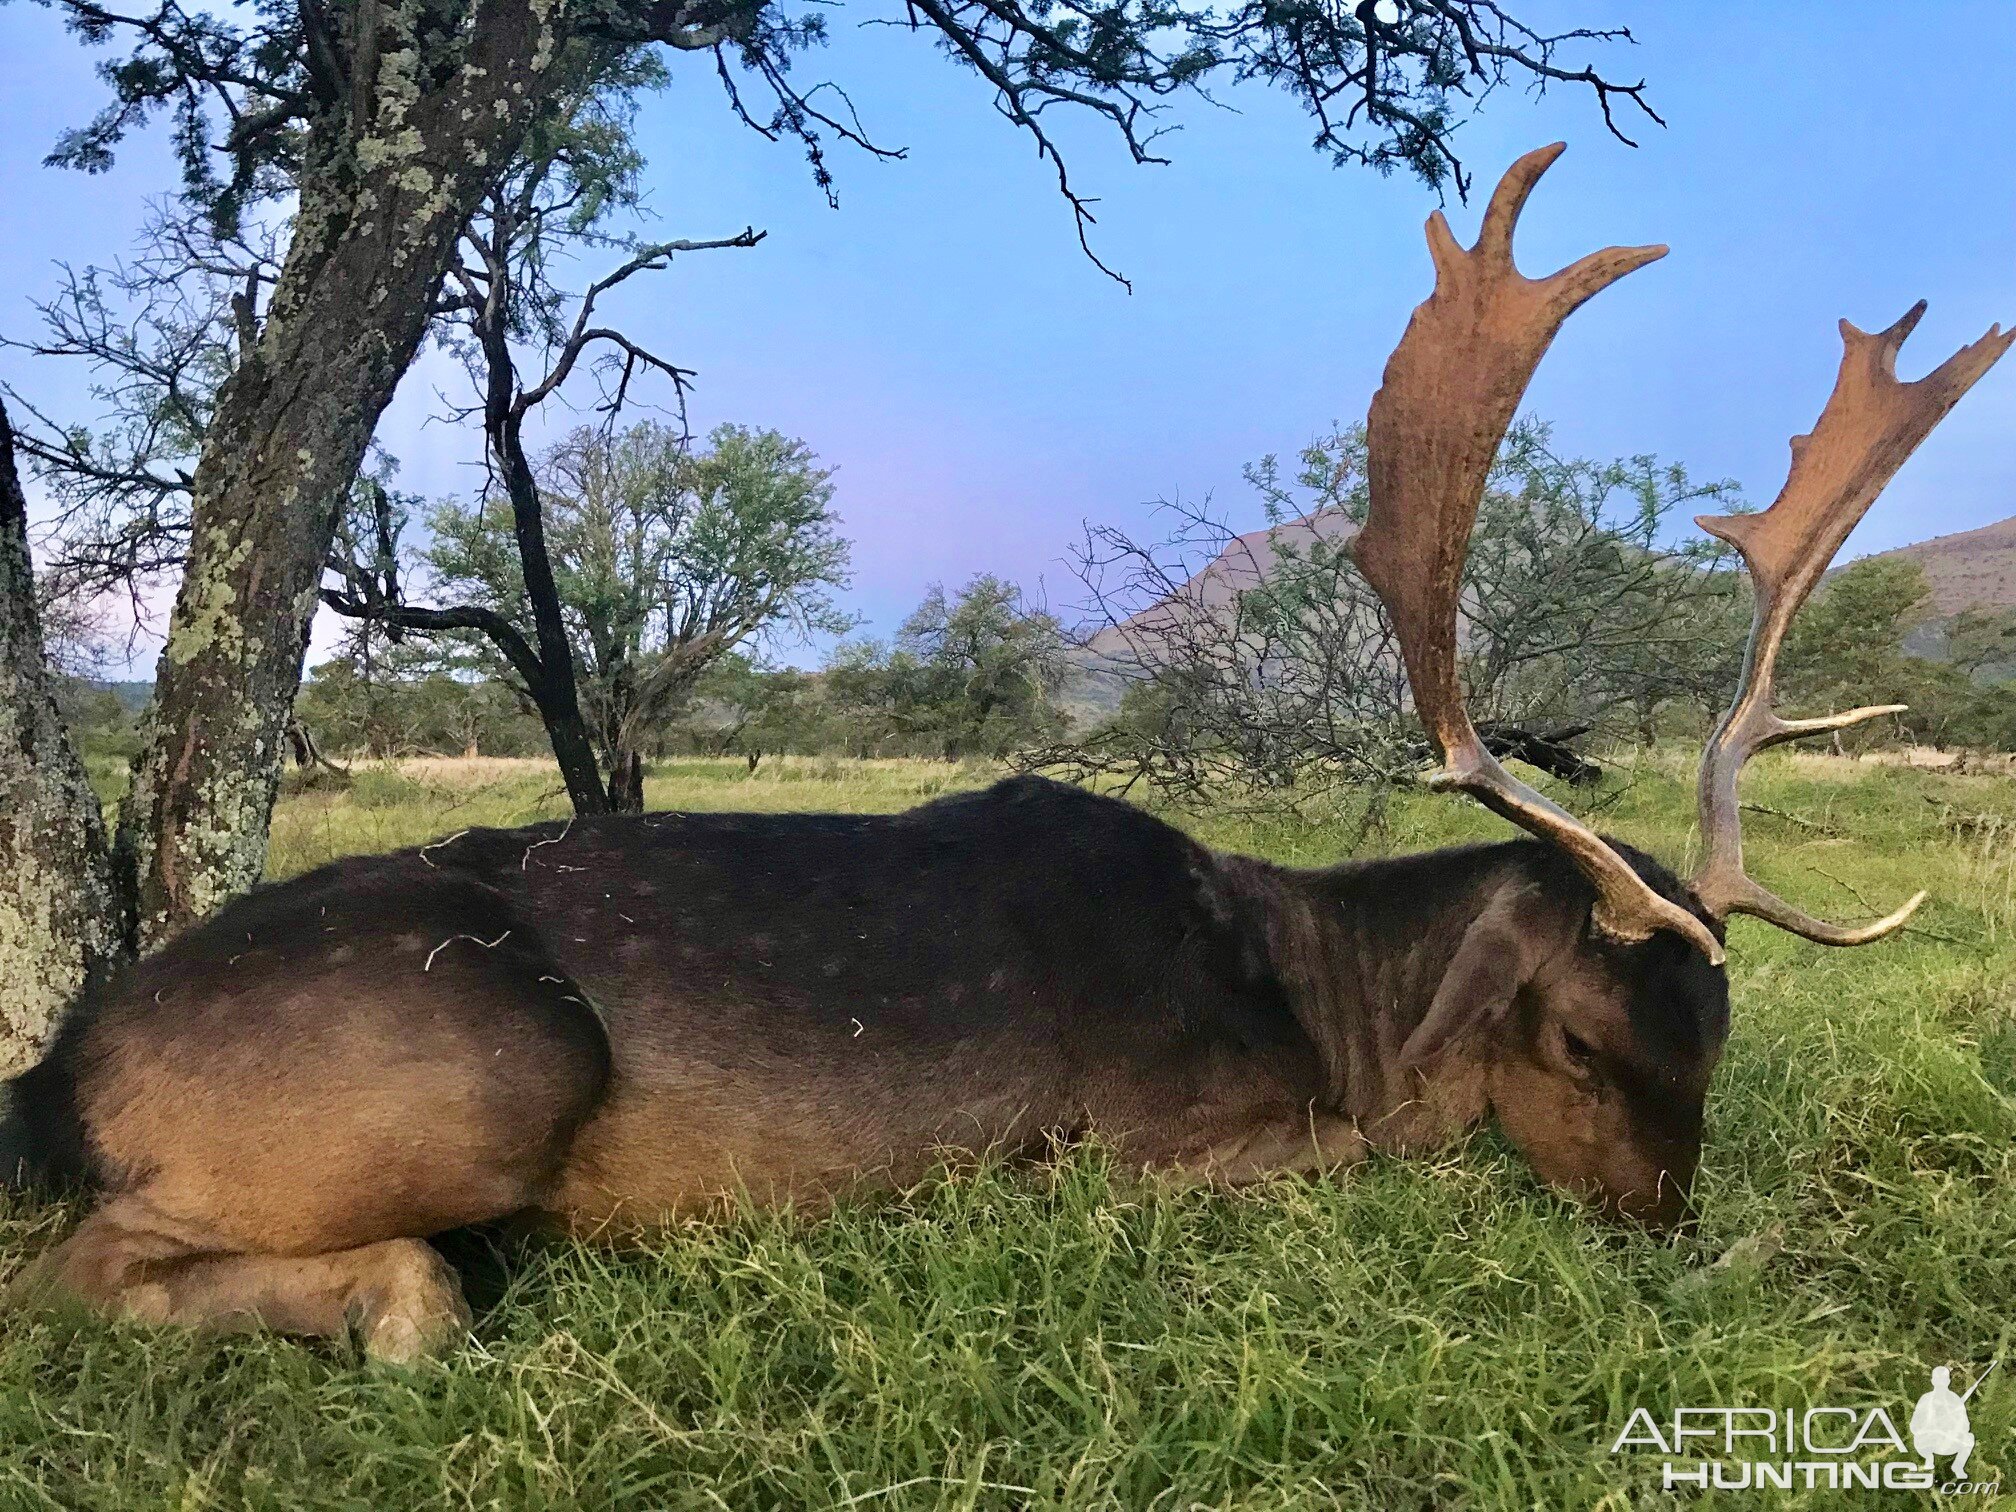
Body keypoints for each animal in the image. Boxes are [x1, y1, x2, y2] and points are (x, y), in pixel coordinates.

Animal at [7, 148, 2007, 1370]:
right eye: (1584, 1039)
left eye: (1718, 1038)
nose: (1676, 1238)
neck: (1326, 1007)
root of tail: (67, 1065)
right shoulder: (1149, 1141)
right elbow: (1354, 1161)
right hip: (490, 1060)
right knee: (77, 1269)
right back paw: (411, 1301)